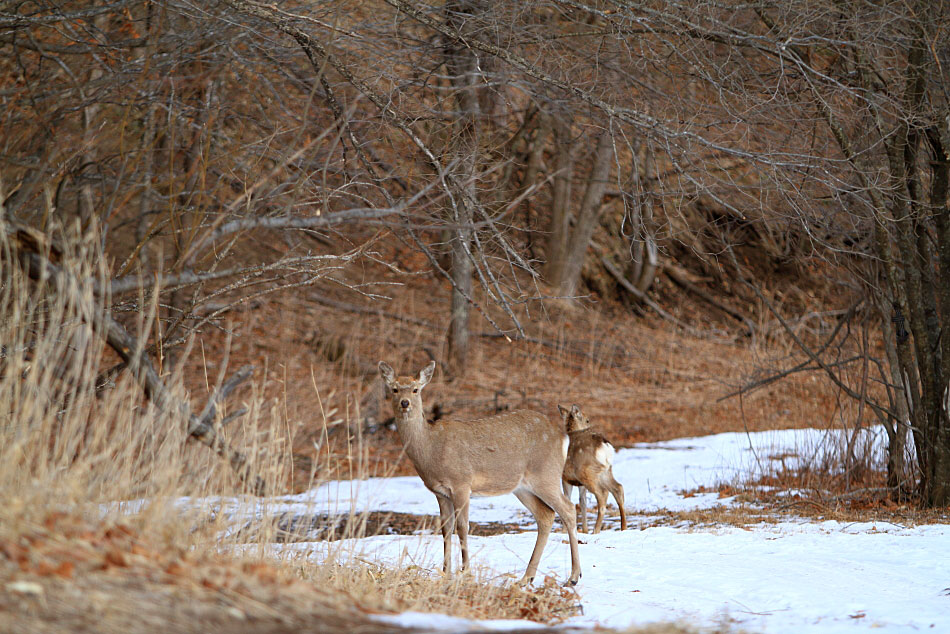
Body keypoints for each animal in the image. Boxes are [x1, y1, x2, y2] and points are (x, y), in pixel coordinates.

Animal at [380, 358, 580, 584]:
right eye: (394, 389)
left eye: (415, 389)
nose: (405, 403)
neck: (431, 449)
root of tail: (562, 437)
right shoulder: (440, 492)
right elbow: (445, 530)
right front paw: (446, 573)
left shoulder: (461, 483)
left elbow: (462, 527)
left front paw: (466, 572)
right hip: (521, 486)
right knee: (546, 515)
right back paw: (527, 577)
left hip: (546, 474)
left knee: (568, 509)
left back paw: (573, 576)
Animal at [556, 402, 624, 532]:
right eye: (587, 420)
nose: (589, 425)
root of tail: (605, 446)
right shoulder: (576, 482)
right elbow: (582, 501)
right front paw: (584, 530)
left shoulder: (565, 477)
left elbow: (568, 499)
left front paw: (564, 531)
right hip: (604, 471)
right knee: (618, 488)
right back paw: (623, 527)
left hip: (585, 472)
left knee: (603, 493)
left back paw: (595, 531)